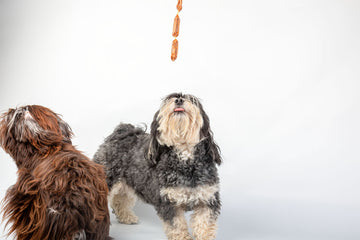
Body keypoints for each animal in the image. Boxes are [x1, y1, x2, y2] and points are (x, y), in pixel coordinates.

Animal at [93, 93, 221, 240]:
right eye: (168, 99)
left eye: (192, 100)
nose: (179, 100)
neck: (186, 161)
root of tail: (120, 133)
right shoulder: (168, 201)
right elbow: (176, 225)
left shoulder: (207, 199)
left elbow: (204, 225)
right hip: (106, 180)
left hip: (128, 183)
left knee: (120, 200)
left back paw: (127, 217)